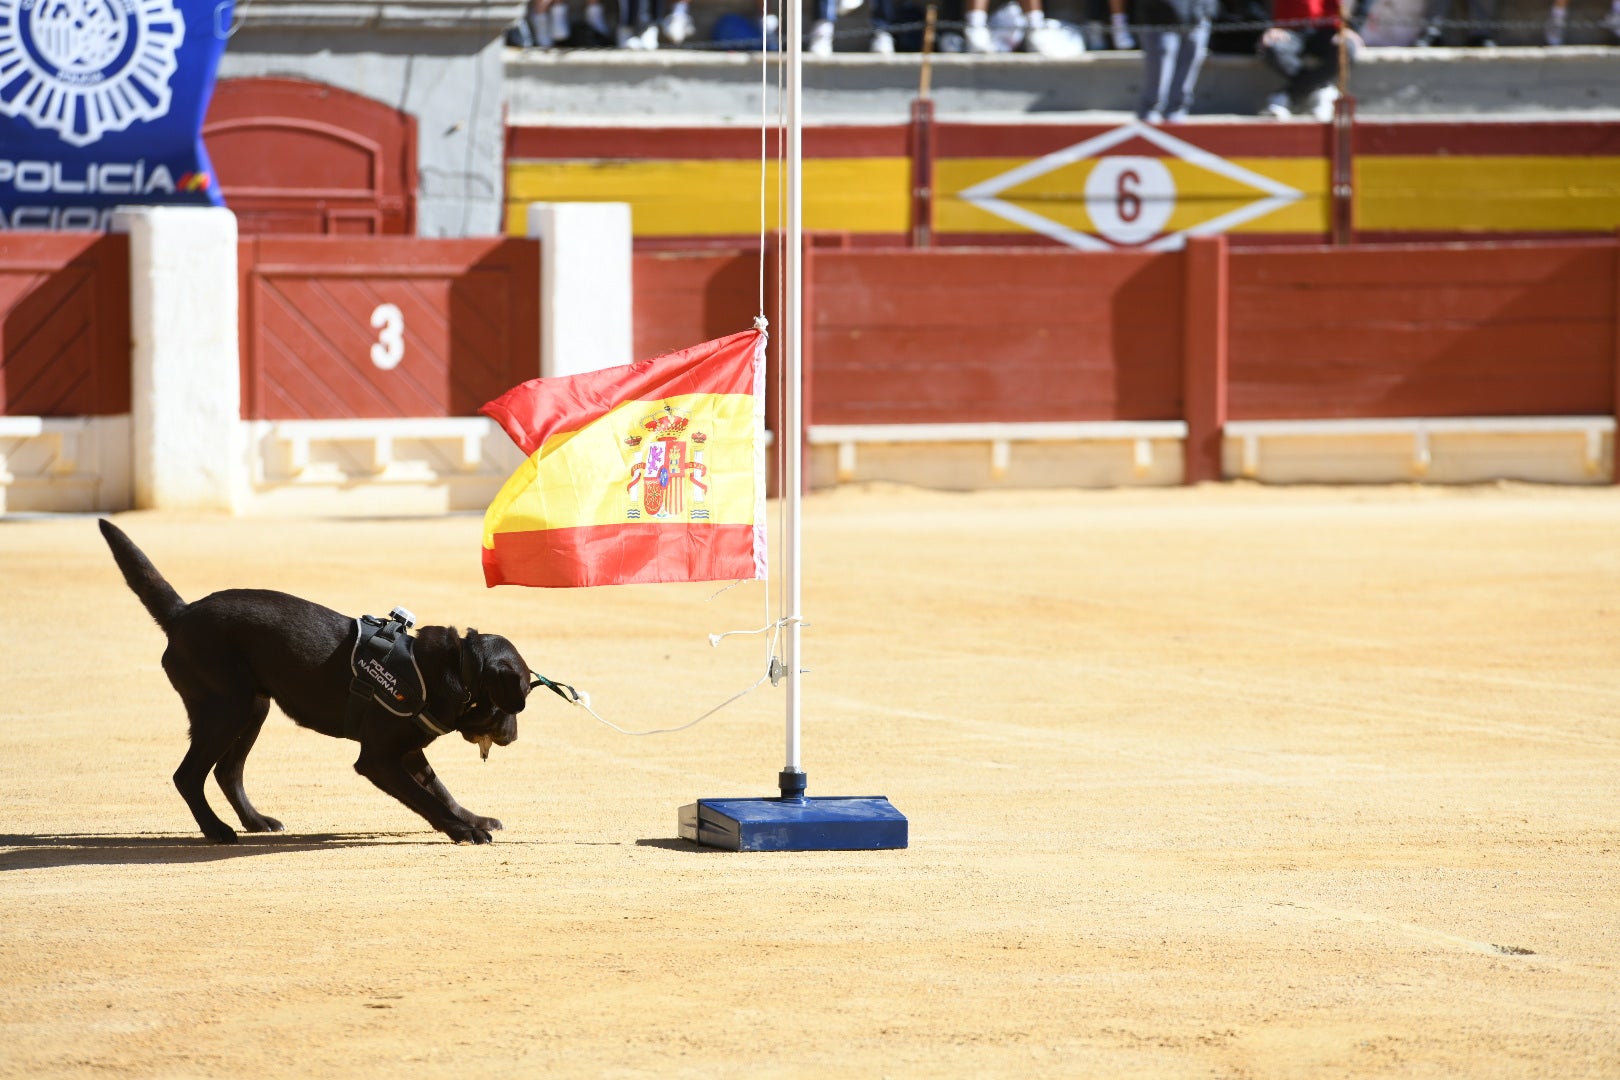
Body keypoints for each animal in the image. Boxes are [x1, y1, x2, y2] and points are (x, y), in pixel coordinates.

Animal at [101, 521, 531, 841]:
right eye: (519, 698)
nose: (514, 737)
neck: (450, 670)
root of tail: (181, 614)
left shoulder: (409, 752)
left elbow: (441, 790)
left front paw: (472, 819)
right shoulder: (378, 758)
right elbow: (427, 799)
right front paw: (462, 830)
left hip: (252, 708)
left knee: (227, 772)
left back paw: (255, 821)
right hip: (227, 709)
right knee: (188, 776)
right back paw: (217, 830)